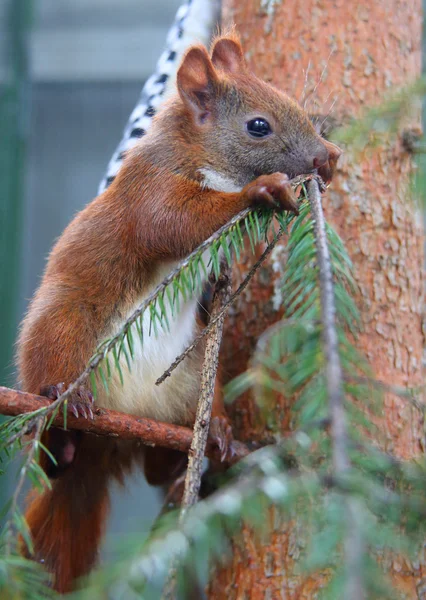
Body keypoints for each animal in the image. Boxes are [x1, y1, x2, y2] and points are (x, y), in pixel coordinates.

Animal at [17, 32, 340, 592]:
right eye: (258, 126)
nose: (323, 158)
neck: (202, 155)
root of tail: (116, 431)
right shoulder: (149, 188)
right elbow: (174, 222)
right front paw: (262, 190)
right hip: (63, 326)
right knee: (52, 422)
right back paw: (64, 410)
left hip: (188, 382)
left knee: (158, 465)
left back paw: (213, 437)